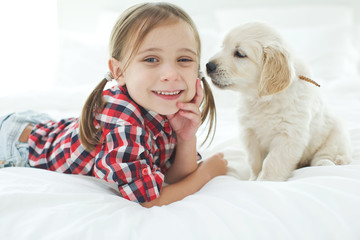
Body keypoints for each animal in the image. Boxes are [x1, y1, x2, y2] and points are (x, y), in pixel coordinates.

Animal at [207, 22, 352, 181]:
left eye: (239, 54)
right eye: (222, 47)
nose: (208, 65)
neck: (262, 99)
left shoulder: (288, 136)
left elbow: (272, 162)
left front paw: (265, 181)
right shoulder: (249, 133)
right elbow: (255, 161)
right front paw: (253, 179)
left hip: (335, 136)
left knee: (328, 155)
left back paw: (327, 163)